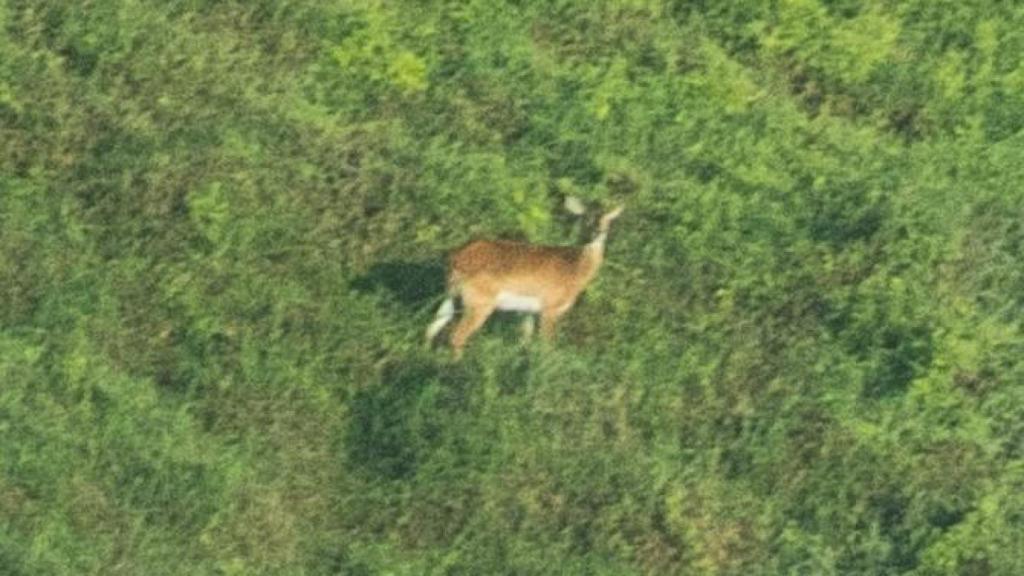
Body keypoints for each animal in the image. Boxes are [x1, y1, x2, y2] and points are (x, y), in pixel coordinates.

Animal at [426, 204, 624, 359]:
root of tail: (455, 258)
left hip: (451, 295)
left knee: (432, 327)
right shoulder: (549, 309)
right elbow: (546, 346)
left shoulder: (528, 312)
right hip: (479, 303)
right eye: (586, 218)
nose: (598, 232)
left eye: (608, 220)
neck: (574, 269)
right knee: (456, 335)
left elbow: (524, 342)